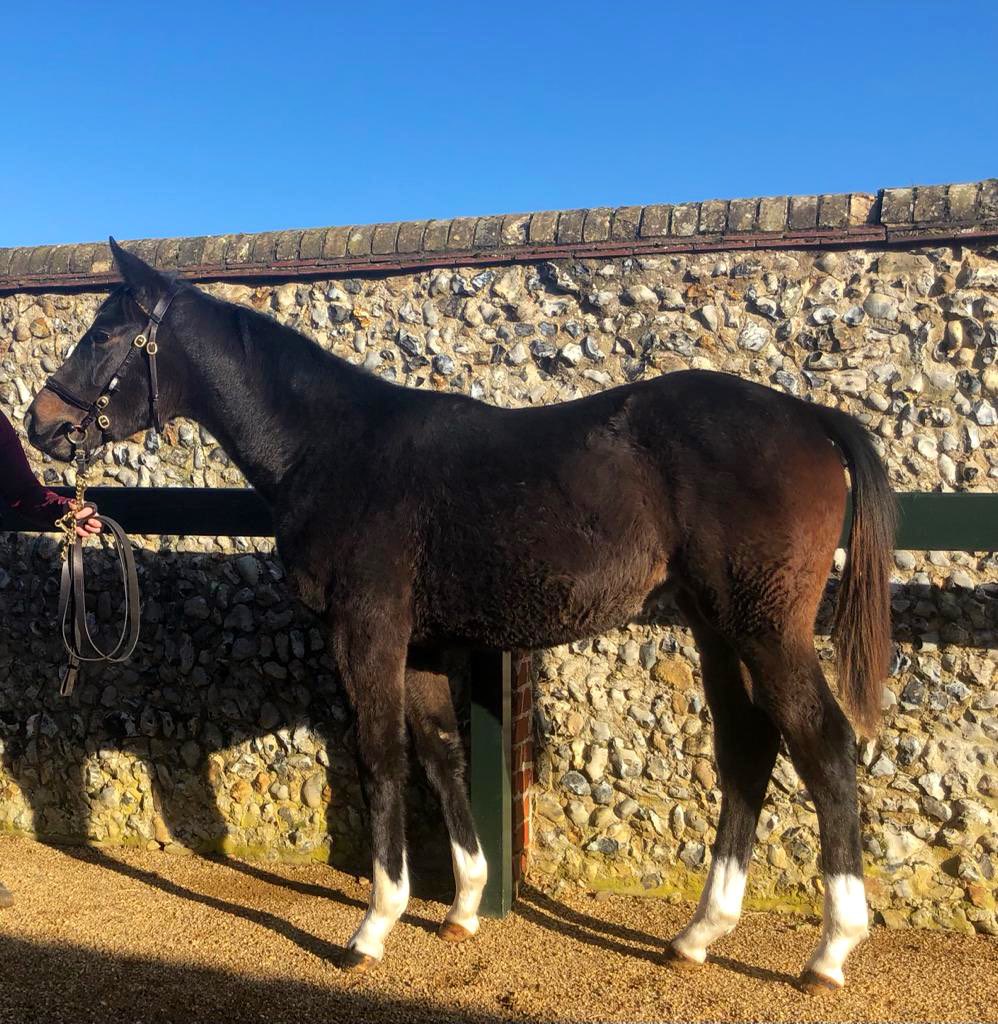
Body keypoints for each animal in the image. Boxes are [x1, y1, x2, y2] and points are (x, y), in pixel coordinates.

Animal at [26, 239, 896, 992]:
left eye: (106, 333)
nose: (43, 422)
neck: (334, 448)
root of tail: (808, 418)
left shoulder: (367, 632)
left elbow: (381, 758)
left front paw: (374, 926)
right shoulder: (419, 643)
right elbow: (441, 754)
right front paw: (464, 906)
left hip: (765, 630)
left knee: (824, 745)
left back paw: (830, 950)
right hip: (719, 628)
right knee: (749, 747)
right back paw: (699, 934)